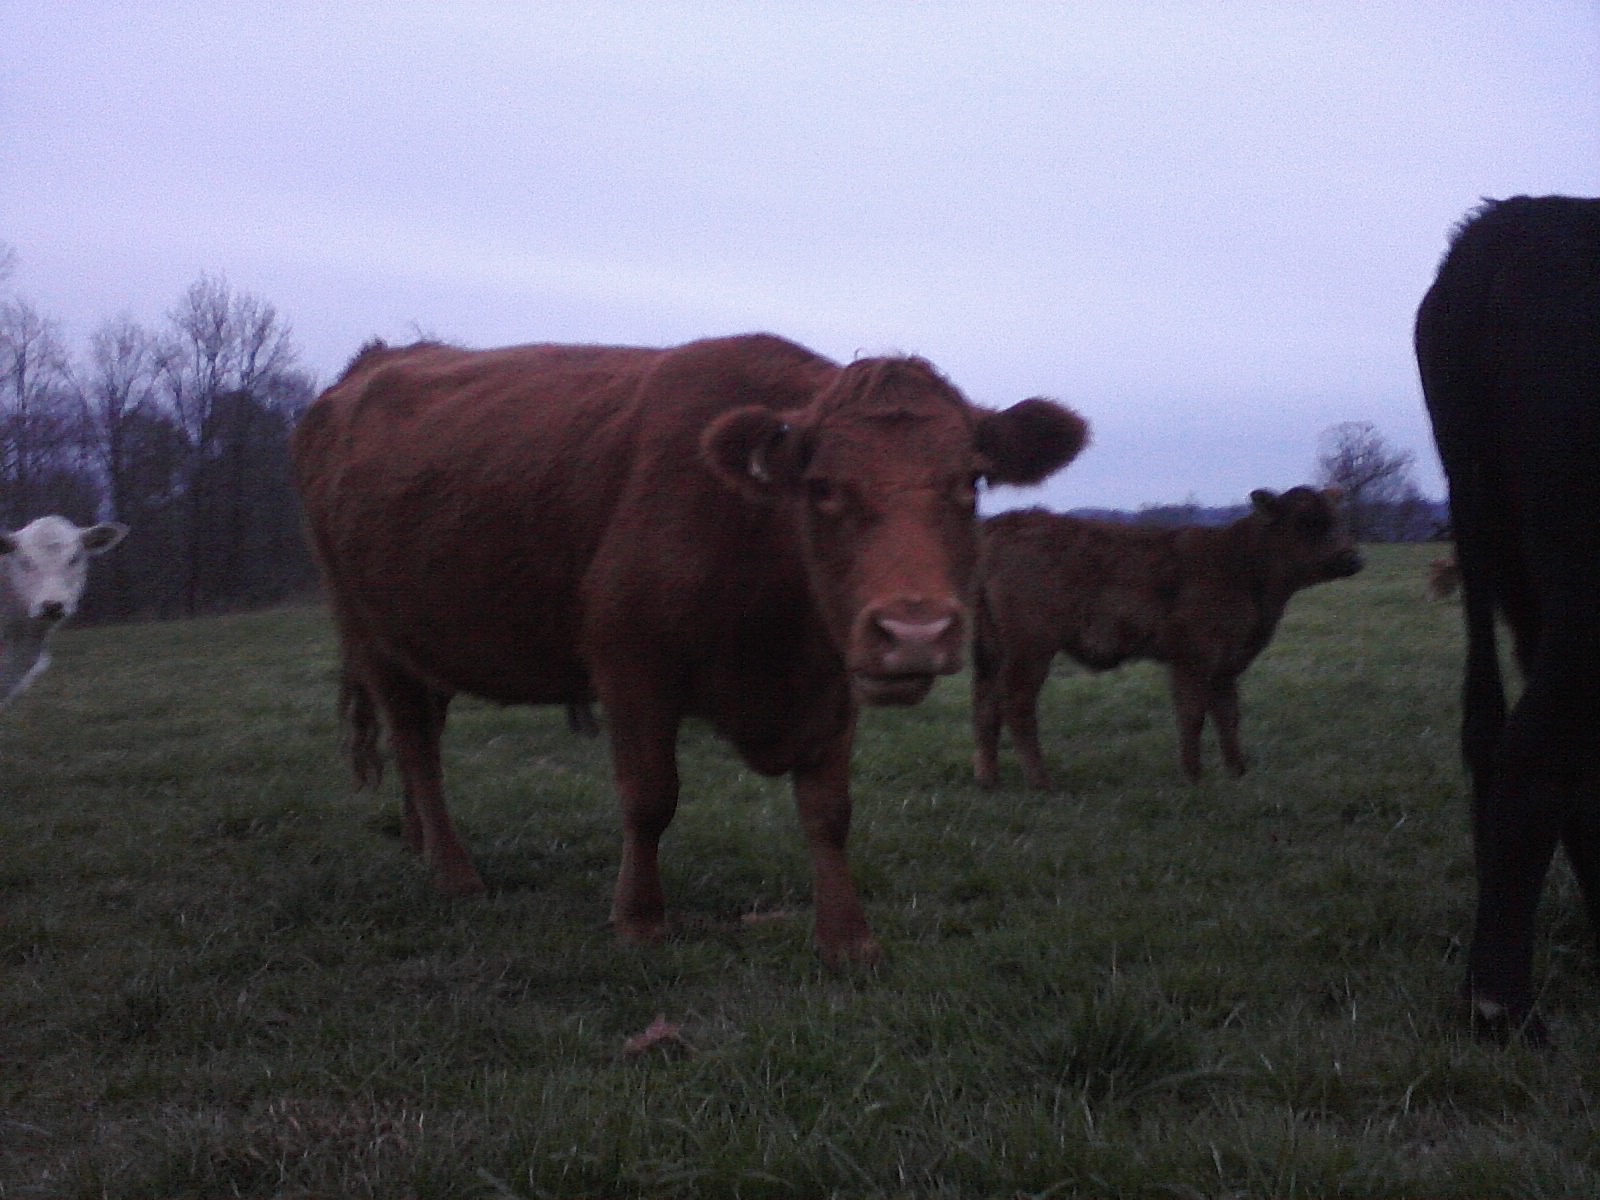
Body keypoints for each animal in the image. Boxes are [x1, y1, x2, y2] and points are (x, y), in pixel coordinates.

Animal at [292, 333, 1087, 966]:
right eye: (821, 487)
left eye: (970, 481)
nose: (914, 631)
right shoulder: (630, 669)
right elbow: (650, 799)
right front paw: (640, 919)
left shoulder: (832, 683)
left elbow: (828, 811)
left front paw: (848, 939)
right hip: (370, 633)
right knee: (416, 745)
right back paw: (455, 873)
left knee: (419, 738)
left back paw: (420, 843)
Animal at [972, 488, 1362, 789]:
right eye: (1306, 521)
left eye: (1337, 518)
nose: (1353, 558)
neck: (1240, 567)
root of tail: (1001, 524)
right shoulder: (1193, 656)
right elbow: (1192, 715)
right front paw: (1193, 777)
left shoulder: (1226, 663)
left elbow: (1229, 716)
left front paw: (1238, 773)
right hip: (1031, 646)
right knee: (1017, 704)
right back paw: (1041, 782)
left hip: (992, 648)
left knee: (985, 705)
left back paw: (989, 780)